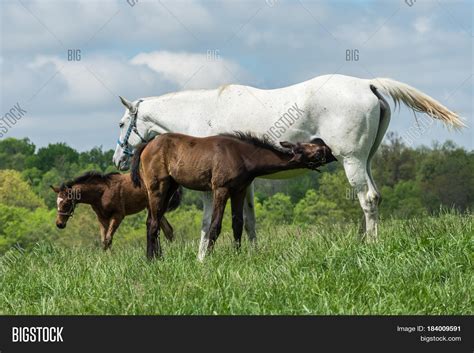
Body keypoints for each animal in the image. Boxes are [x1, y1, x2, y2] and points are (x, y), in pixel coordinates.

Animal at [50, 171, 180, 249]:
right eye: (57, 202)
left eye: (66, 203)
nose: (59, 224)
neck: (102, 192)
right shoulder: (101, 217)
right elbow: (104, 240)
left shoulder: (118, 215)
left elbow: (108, 239)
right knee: (168, 229)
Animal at [130, 132, 336, 258]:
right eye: (316, 150)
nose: (332, 153)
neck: (241, 155)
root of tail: (146, 145)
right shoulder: (221, 189)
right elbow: (215, 226)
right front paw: (208, 258)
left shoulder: (239, 190)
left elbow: (238, 224)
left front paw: (237, 254)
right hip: (157, 187)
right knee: (153, 223)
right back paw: (152, 259)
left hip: (170, 188)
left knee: (152, 221)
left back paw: (157, 257)